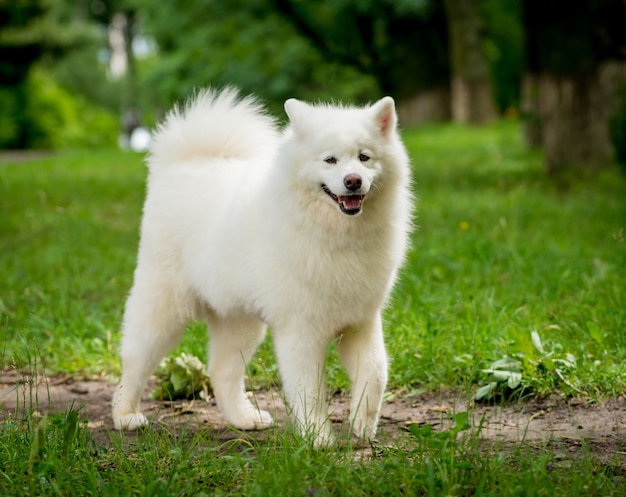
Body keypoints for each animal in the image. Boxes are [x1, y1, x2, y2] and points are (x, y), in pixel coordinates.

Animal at [112, 87, 412, 444]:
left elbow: (376, 372)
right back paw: (125, 416)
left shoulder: (360, 321)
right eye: (330, 160)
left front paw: (362, 425)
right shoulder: (301, 331)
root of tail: (187, 163)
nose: (353, 181)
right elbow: (309, 390)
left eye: (364, 158)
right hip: (165, 310)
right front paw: (318, 439)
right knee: (134, 360)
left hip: (239, 321)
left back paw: (245, 420)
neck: (337, 235)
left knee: (222, 371)